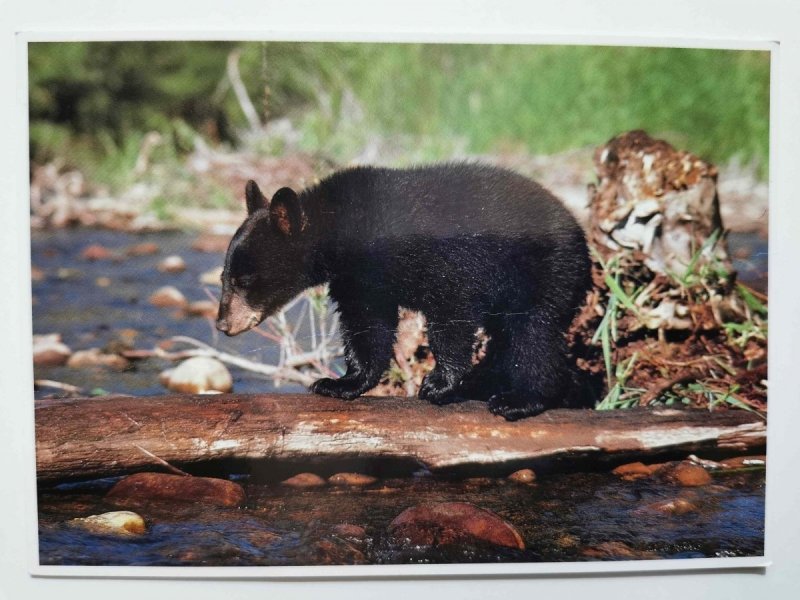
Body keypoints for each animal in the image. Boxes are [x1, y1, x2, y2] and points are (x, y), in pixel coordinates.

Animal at [216, 162, 592, 420]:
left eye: (244, 280)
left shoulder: (445, 260)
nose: (223, 324)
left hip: (542, 271)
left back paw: (521, 399)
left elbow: (451, 313)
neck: (344, 226)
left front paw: (439, 383)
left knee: (533, 333)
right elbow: (367, 326)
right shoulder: (359, 279)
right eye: (224, 276)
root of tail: (578, 230)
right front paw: (341, 383)